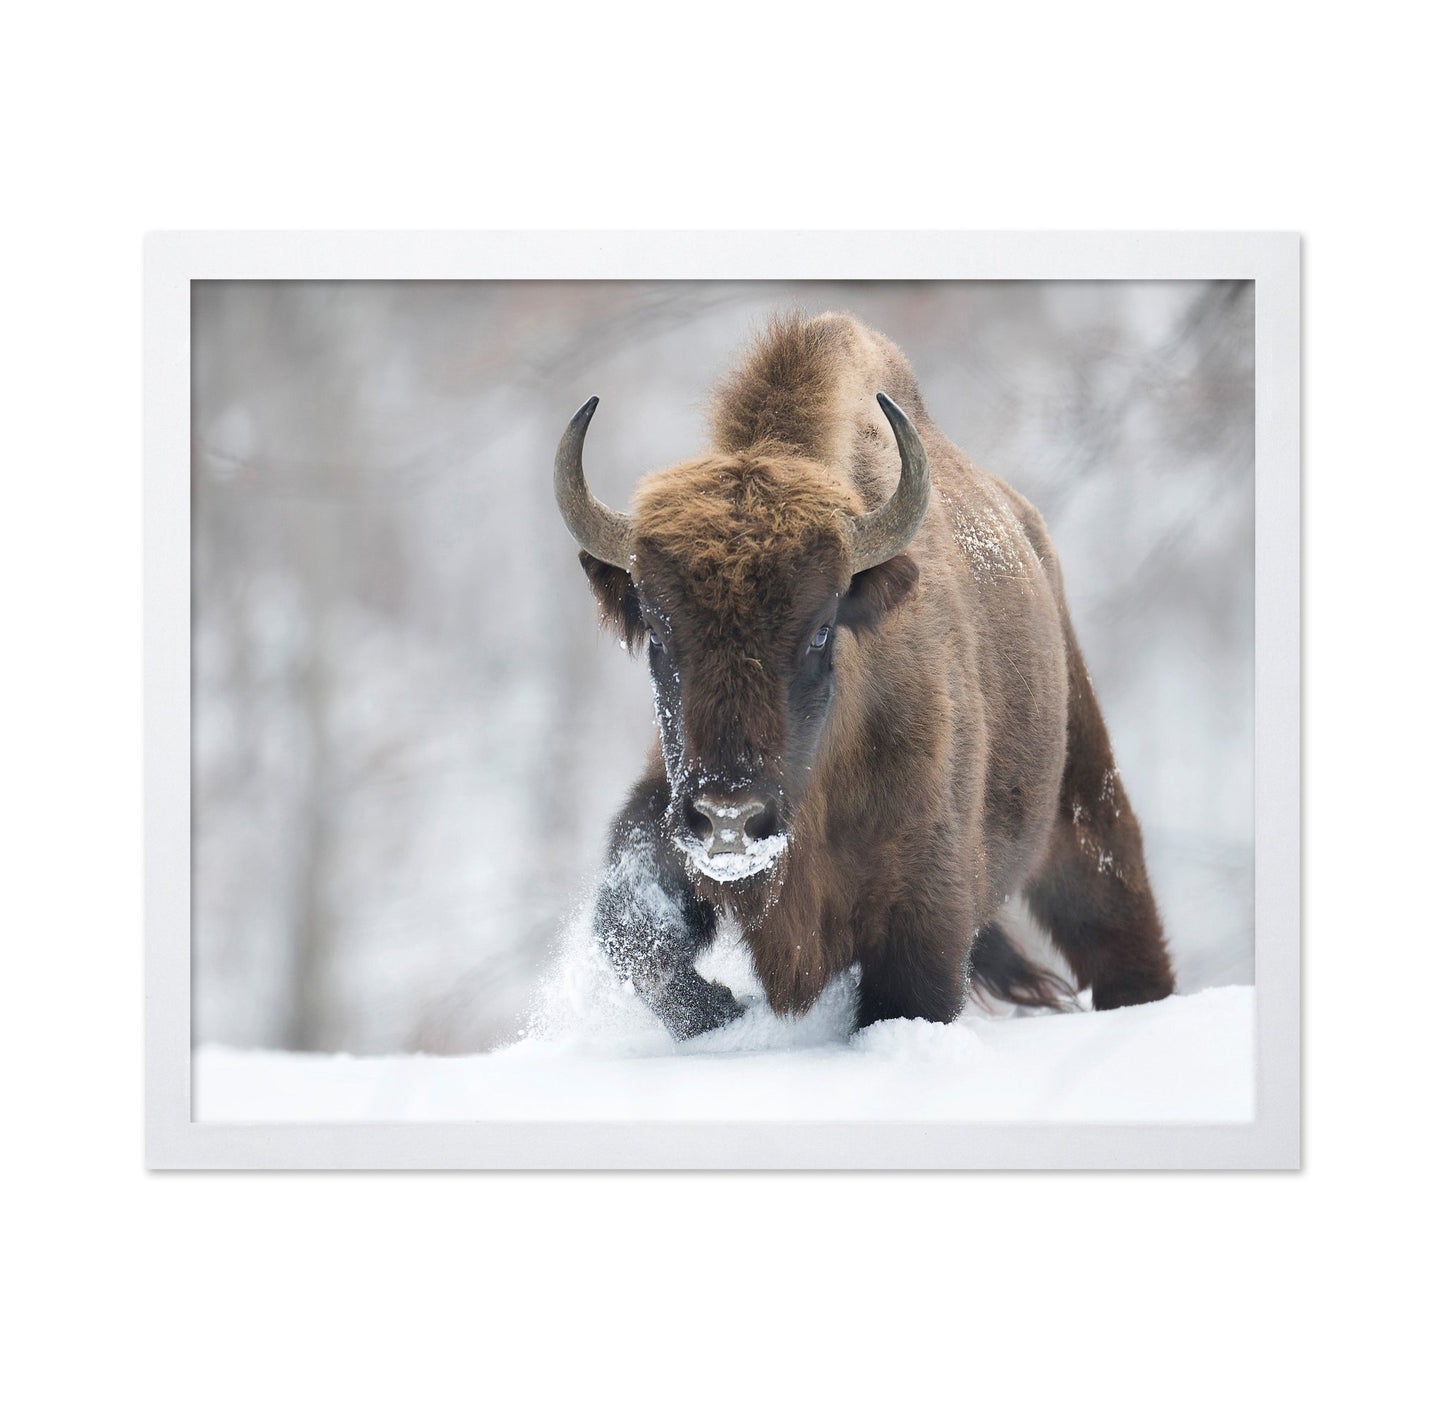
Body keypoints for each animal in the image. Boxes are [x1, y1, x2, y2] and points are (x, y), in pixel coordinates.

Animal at [554, 312, 1175, 1038]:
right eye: (657, 632)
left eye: (821, 628)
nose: (728, 818)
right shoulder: (665, 812)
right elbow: (634, 932)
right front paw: (725, 1008)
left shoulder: (923, 919)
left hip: (1082, 804)